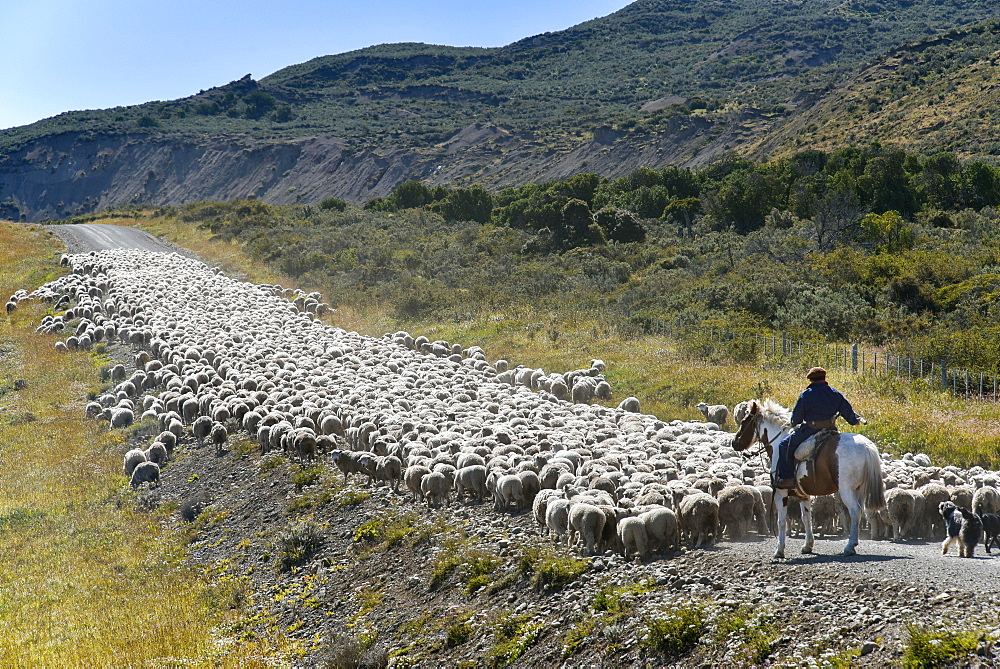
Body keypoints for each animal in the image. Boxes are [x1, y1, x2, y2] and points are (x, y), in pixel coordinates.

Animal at [732, 400, 888, 556]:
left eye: (744, 421)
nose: (734, 443)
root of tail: (866, 446)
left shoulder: (781, 492)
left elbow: (781, 521)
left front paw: (779, 550)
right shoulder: (803, 495)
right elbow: (806, 518)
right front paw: (808, 545)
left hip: (846, 490)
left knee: (854, 511)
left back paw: (849, 546)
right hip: (859, 490)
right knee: (860, 512)